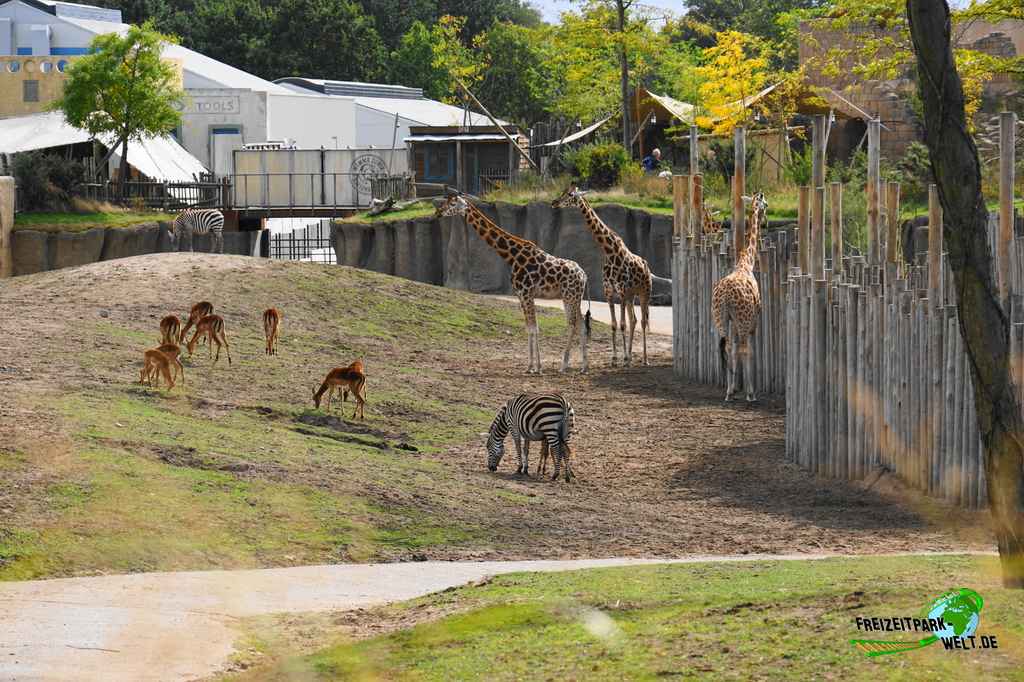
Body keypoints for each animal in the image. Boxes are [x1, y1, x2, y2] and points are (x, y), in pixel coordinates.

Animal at [436, 191, 589, 372]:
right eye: (445, 202)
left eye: (453, 204)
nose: (438, 212)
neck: (512, 256)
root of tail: (584, 275)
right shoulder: (521, 295)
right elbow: (529, 327)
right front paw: (530, 366)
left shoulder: (527, 293)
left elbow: (534, 327)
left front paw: (538, 367)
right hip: (574, 297)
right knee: (581, 325)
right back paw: (583, 367)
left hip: (569, 296)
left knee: (572, 324)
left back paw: (563, 365)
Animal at [552, 186, 671, 364]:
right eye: (563, 191)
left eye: (570, 194)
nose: (554, 202)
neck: (609, 251)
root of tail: (647, 267)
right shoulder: (609, 291)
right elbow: (615, 324)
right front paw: (615, 358)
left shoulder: (620, 291)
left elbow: (622, 324)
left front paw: (623, 358)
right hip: (631, 295)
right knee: (634, 319)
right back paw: (630, 355)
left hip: (645, 292)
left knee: (643, 321)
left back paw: (644, 359)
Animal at [712, 188, 770, 401]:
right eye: (766, 204)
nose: (765, 220)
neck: (747, 262)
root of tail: (726, 297)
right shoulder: (753, 320)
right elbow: (750, 350)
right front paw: (749, 391)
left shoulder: (734, 321)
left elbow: (734, 348)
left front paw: (735, 388)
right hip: (743, 320)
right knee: (744, 348)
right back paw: (750, 394)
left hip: (720, 317)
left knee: (727, 345)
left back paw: (729, 391)